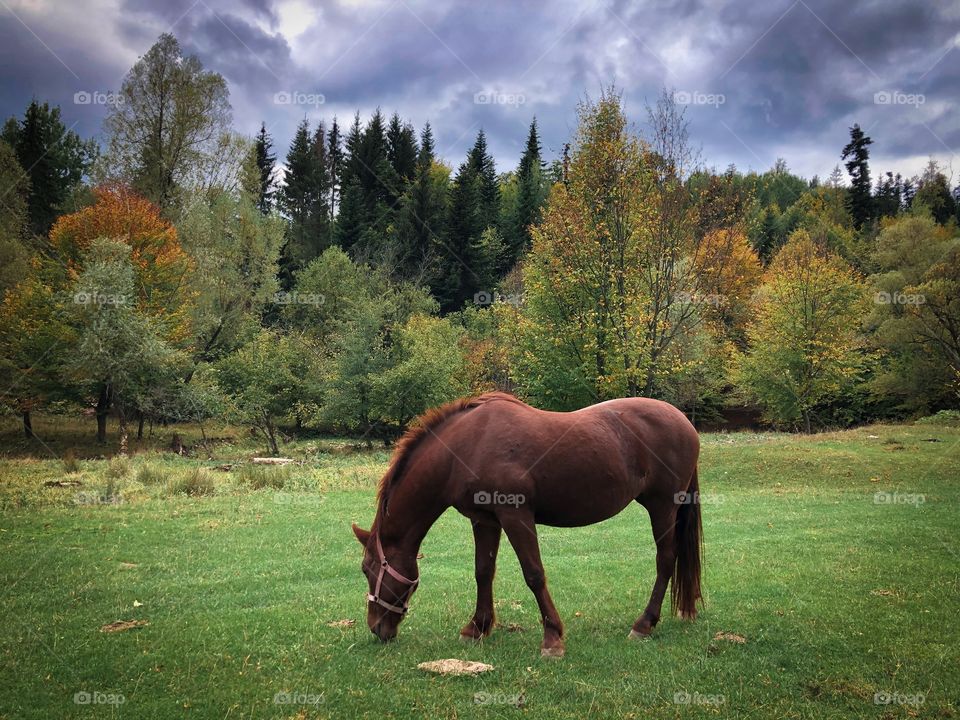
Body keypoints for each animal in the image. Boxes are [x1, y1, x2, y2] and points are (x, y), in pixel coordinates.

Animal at [352, 391, 702, 658]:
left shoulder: (515, 516)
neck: (467, 445)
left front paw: (552, 638)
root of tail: (684, 421)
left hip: (663, 507)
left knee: (665, 560)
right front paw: (476, 628)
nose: (377, 628)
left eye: (369, 570)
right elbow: (483, 572)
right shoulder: (484, 520)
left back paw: (644, 624)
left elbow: (533, 574)